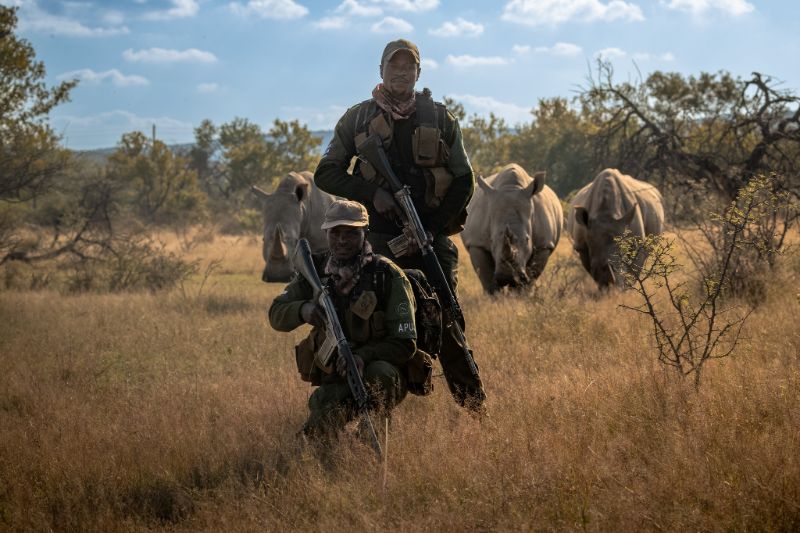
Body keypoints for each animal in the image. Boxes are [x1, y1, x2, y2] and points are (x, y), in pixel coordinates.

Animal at [460, 163, 564, 294]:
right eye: (491, 241)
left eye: (527, 239)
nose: (507, 277)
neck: (511, 188)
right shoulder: (476, 243)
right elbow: (487, 280)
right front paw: (495, 297)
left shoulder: (544, 245)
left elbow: (531, 277)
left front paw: (521, 295)